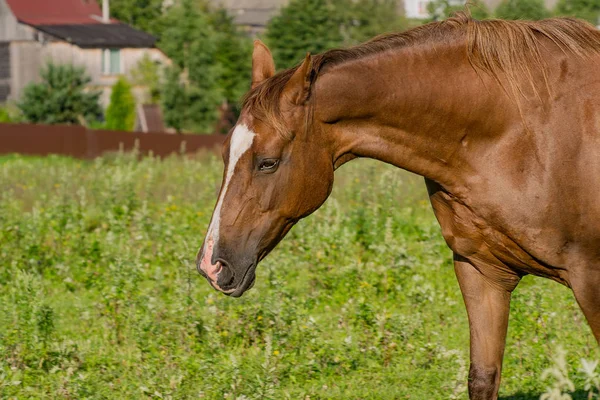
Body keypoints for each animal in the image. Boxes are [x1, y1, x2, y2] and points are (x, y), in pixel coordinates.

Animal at [197, 11, 600, 396]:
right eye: (224, 153)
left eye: (268, 162)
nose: (211, 265)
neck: (525, 132)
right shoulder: (482, 270)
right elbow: (483, 378)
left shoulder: (590, 278)